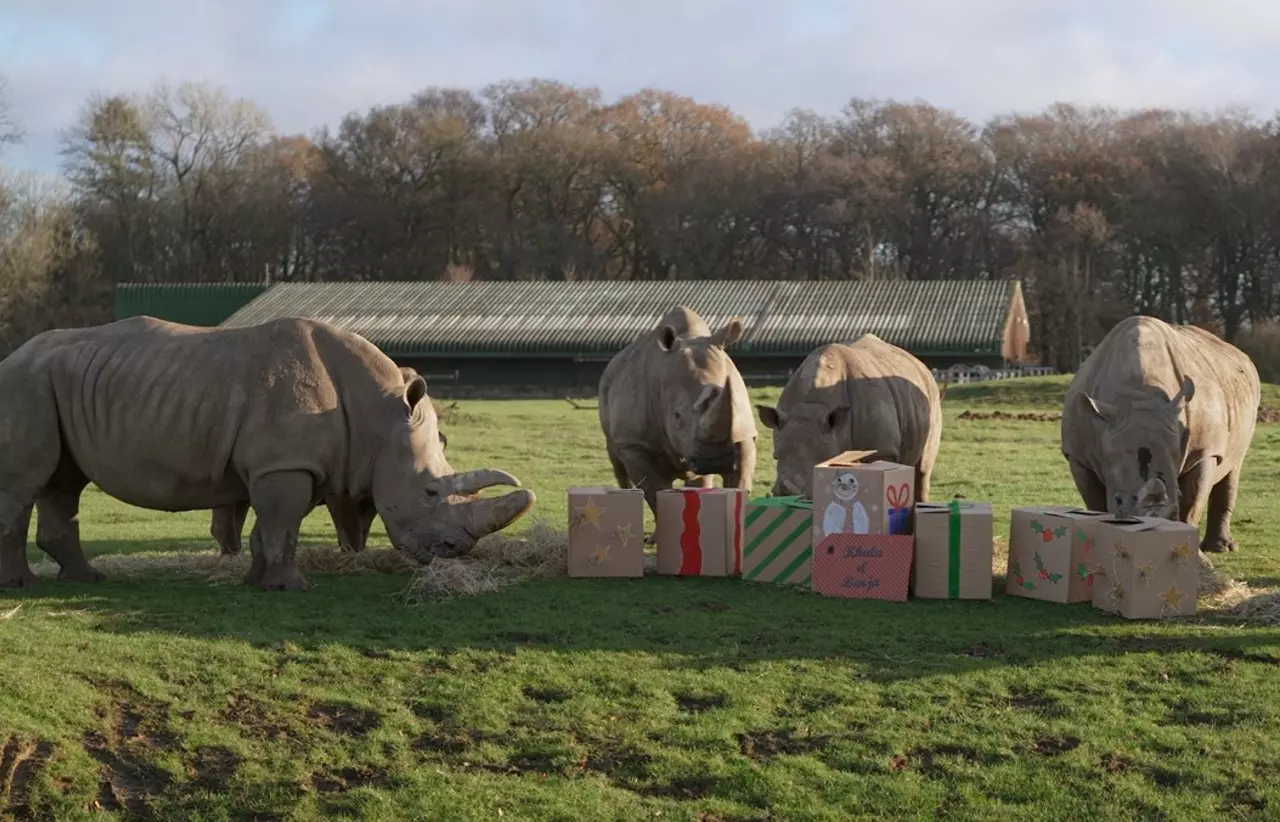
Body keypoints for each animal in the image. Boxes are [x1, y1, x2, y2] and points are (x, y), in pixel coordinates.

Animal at [598, 306, 757, 513]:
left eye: (734, 407)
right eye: (677, 416)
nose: (717, 460)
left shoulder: (743, 434)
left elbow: (741, 484)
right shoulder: (635, 445)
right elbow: (656, 494)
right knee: (619, 465)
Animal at [755, 336, 942, 502]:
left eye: (822, 461)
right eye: (775, 457)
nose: (786, 495)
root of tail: (918, 363)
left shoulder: (883, 450)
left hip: (931, 394)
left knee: (923, 467)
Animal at [1061, 315, 1260, 553]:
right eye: (1118, 500)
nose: (1153, 526)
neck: (1138, 393)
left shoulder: (1204, 451)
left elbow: (1191, 504)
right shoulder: (1078, 455)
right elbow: (1096, 504)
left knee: (1234, 465)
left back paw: (1221, 548)